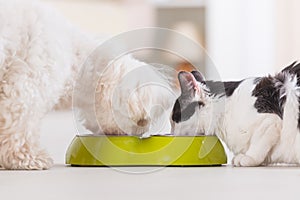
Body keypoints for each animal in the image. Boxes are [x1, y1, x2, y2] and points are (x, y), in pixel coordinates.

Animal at [0, 0, 175, 170]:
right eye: (142, 120)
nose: (142, 133)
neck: (76, 60)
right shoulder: (28, 84)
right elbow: (20, 124)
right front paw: (25, 158)